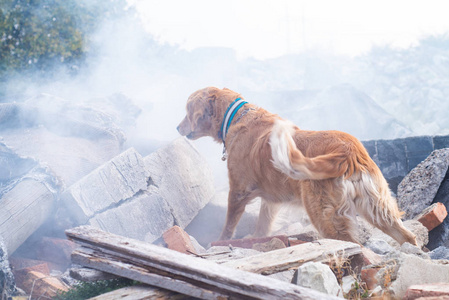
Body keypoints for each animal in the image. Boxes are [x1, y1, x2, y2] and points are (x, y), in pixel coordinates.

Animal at [178, 86, 416, 246]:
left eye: (188, 110)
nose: (178, 127)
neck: (237, 116)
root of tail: (347, 150)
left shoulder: (238, 190)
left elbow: (229, 225)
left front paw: (220, 241)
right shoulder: (270, 201)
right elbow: (263, 223)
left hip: (324, 215)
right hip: (378, 207)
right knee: (407, 236)